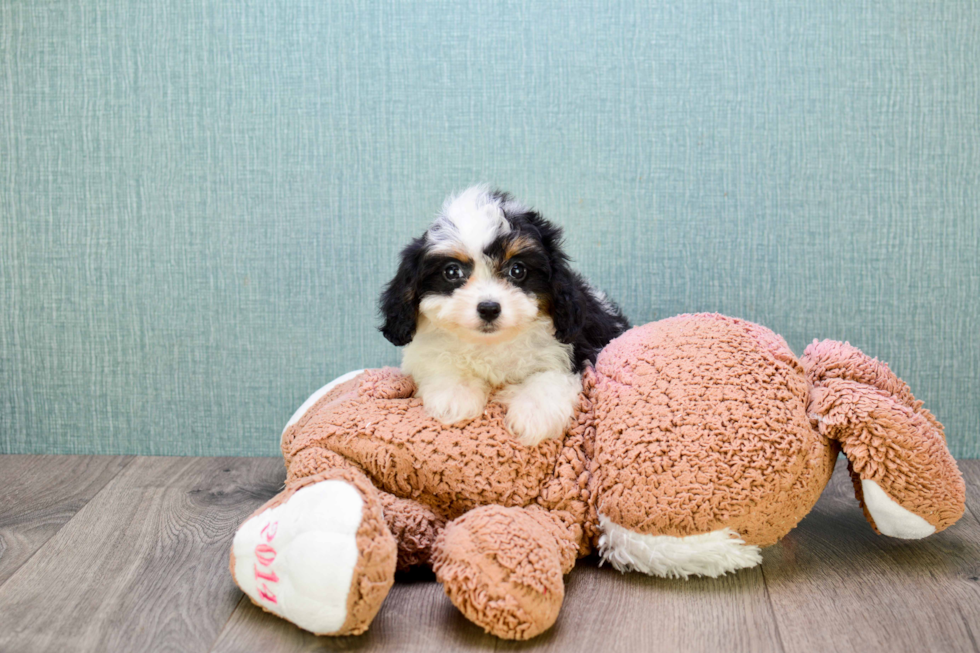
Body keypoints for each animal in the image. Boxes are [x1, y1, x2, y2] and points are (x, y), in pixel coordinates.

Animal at [376, 186, 628, 446]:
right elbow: (440, 363)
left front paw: (534, 414)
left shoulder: (569, 349)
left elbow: (550, 377)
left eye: (517, 270)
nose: (488, 308)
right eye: (452, 272)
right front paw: (455, 396)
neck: (491, 344)